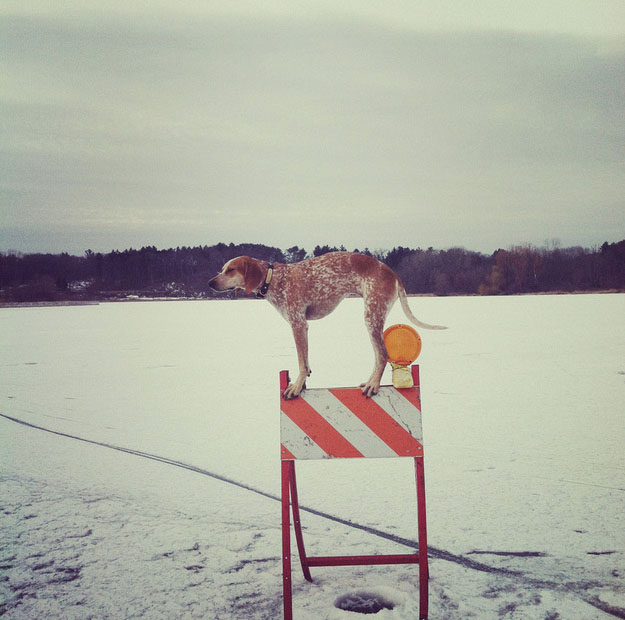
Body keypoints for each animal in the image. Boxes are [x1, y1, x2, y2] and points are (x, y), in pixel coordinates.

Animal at [208, 251, 444, 400]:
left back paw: (374, 384)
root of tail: (391, 271)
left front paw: (296, 387)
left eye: (230, 270)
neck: (273, 278)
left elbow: (302, 362)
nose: (210, 282)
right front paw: (301, 383)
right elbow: (306, 362)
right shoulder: (301, 326)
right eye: (222, 269)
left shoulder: (298, 324)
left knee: (382, 355)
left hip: (372, 316)